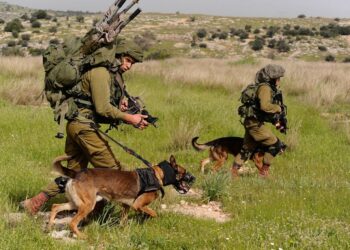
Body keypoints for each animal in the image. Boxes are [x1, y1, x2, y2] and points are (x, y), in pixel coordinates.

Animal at [48, 154, 196, 238]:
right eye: (184, 172)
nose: (194, 178)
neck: (157, 174)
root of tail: (77, 174)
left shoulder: (126, 206)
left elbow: (123, 221)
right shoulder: (138, 205)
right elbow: (153, 213)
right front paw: (147, 218)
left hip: (77, 203)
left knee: (55, 206)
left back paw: (49, 226)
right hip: (87, 205)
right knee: (72, 223)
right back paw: (81, 236)